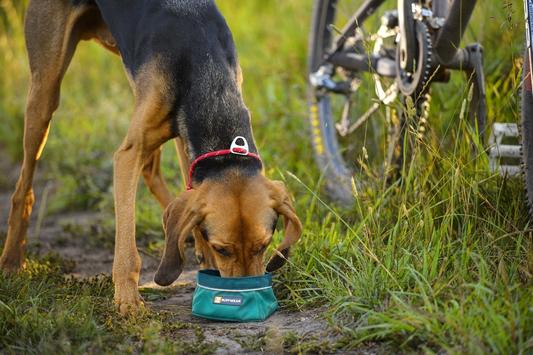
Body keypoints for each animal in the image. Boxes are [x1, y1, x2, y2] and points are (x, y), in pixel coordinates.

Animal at [0, 0, 300, 318]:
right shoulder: (128, 155)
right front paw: (128, 300)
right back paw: (12, 261)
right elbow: (127, 247)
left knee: (154, 173)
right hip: (45, 91)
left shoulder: (186, 141)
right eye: (223, 249)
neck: (208, 76)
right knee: (24, 186)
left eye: (263, 245)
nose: (245, 296)